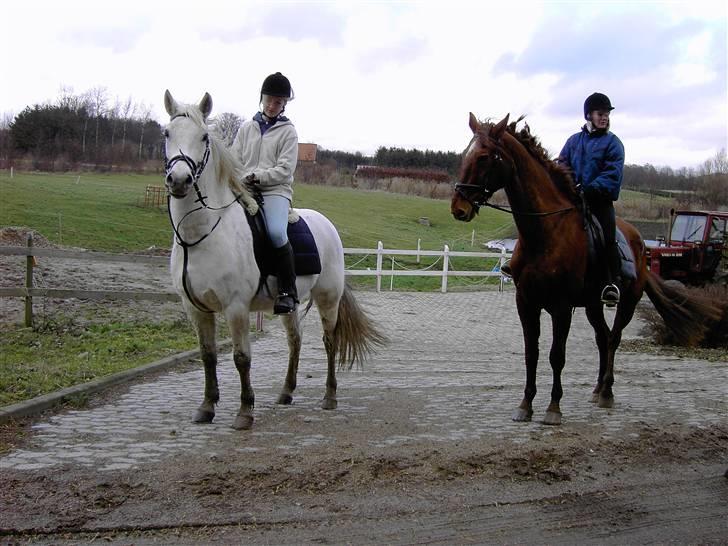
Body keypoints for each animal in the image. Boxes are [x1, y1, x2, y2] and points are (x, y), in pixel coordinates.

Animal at [161, 90, 384, 430]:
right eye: (167, 133)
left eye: (203, 137)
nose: (179, 180)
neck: (202, 234)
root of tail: (327, 225)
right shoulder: (196, 309)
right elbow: (208, 355)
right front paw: (207, 407)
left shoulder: (236, 308)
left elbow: (241, 357)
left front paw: (244, 412)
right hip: (289, 305)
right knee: (296, 341)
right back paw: (286, 392)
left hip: (328, 299)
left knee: (329, 341)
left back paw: (329, 397)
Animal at [450, 112, 724, 422]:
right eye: (466, 154)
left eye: (484, 157)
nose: (458, 208)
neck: (545, 232)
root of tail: (643, 245)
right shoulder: (526, 302)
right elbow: (531, 353)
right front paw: (525, 405)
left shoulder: (561, 306)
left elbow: (556, 355)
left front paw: (553, 408)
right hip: (593, 305)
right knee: (602, 338)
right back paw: (596, 389)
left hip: (627, 302)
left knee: (614, 338)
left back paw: (607, 392)